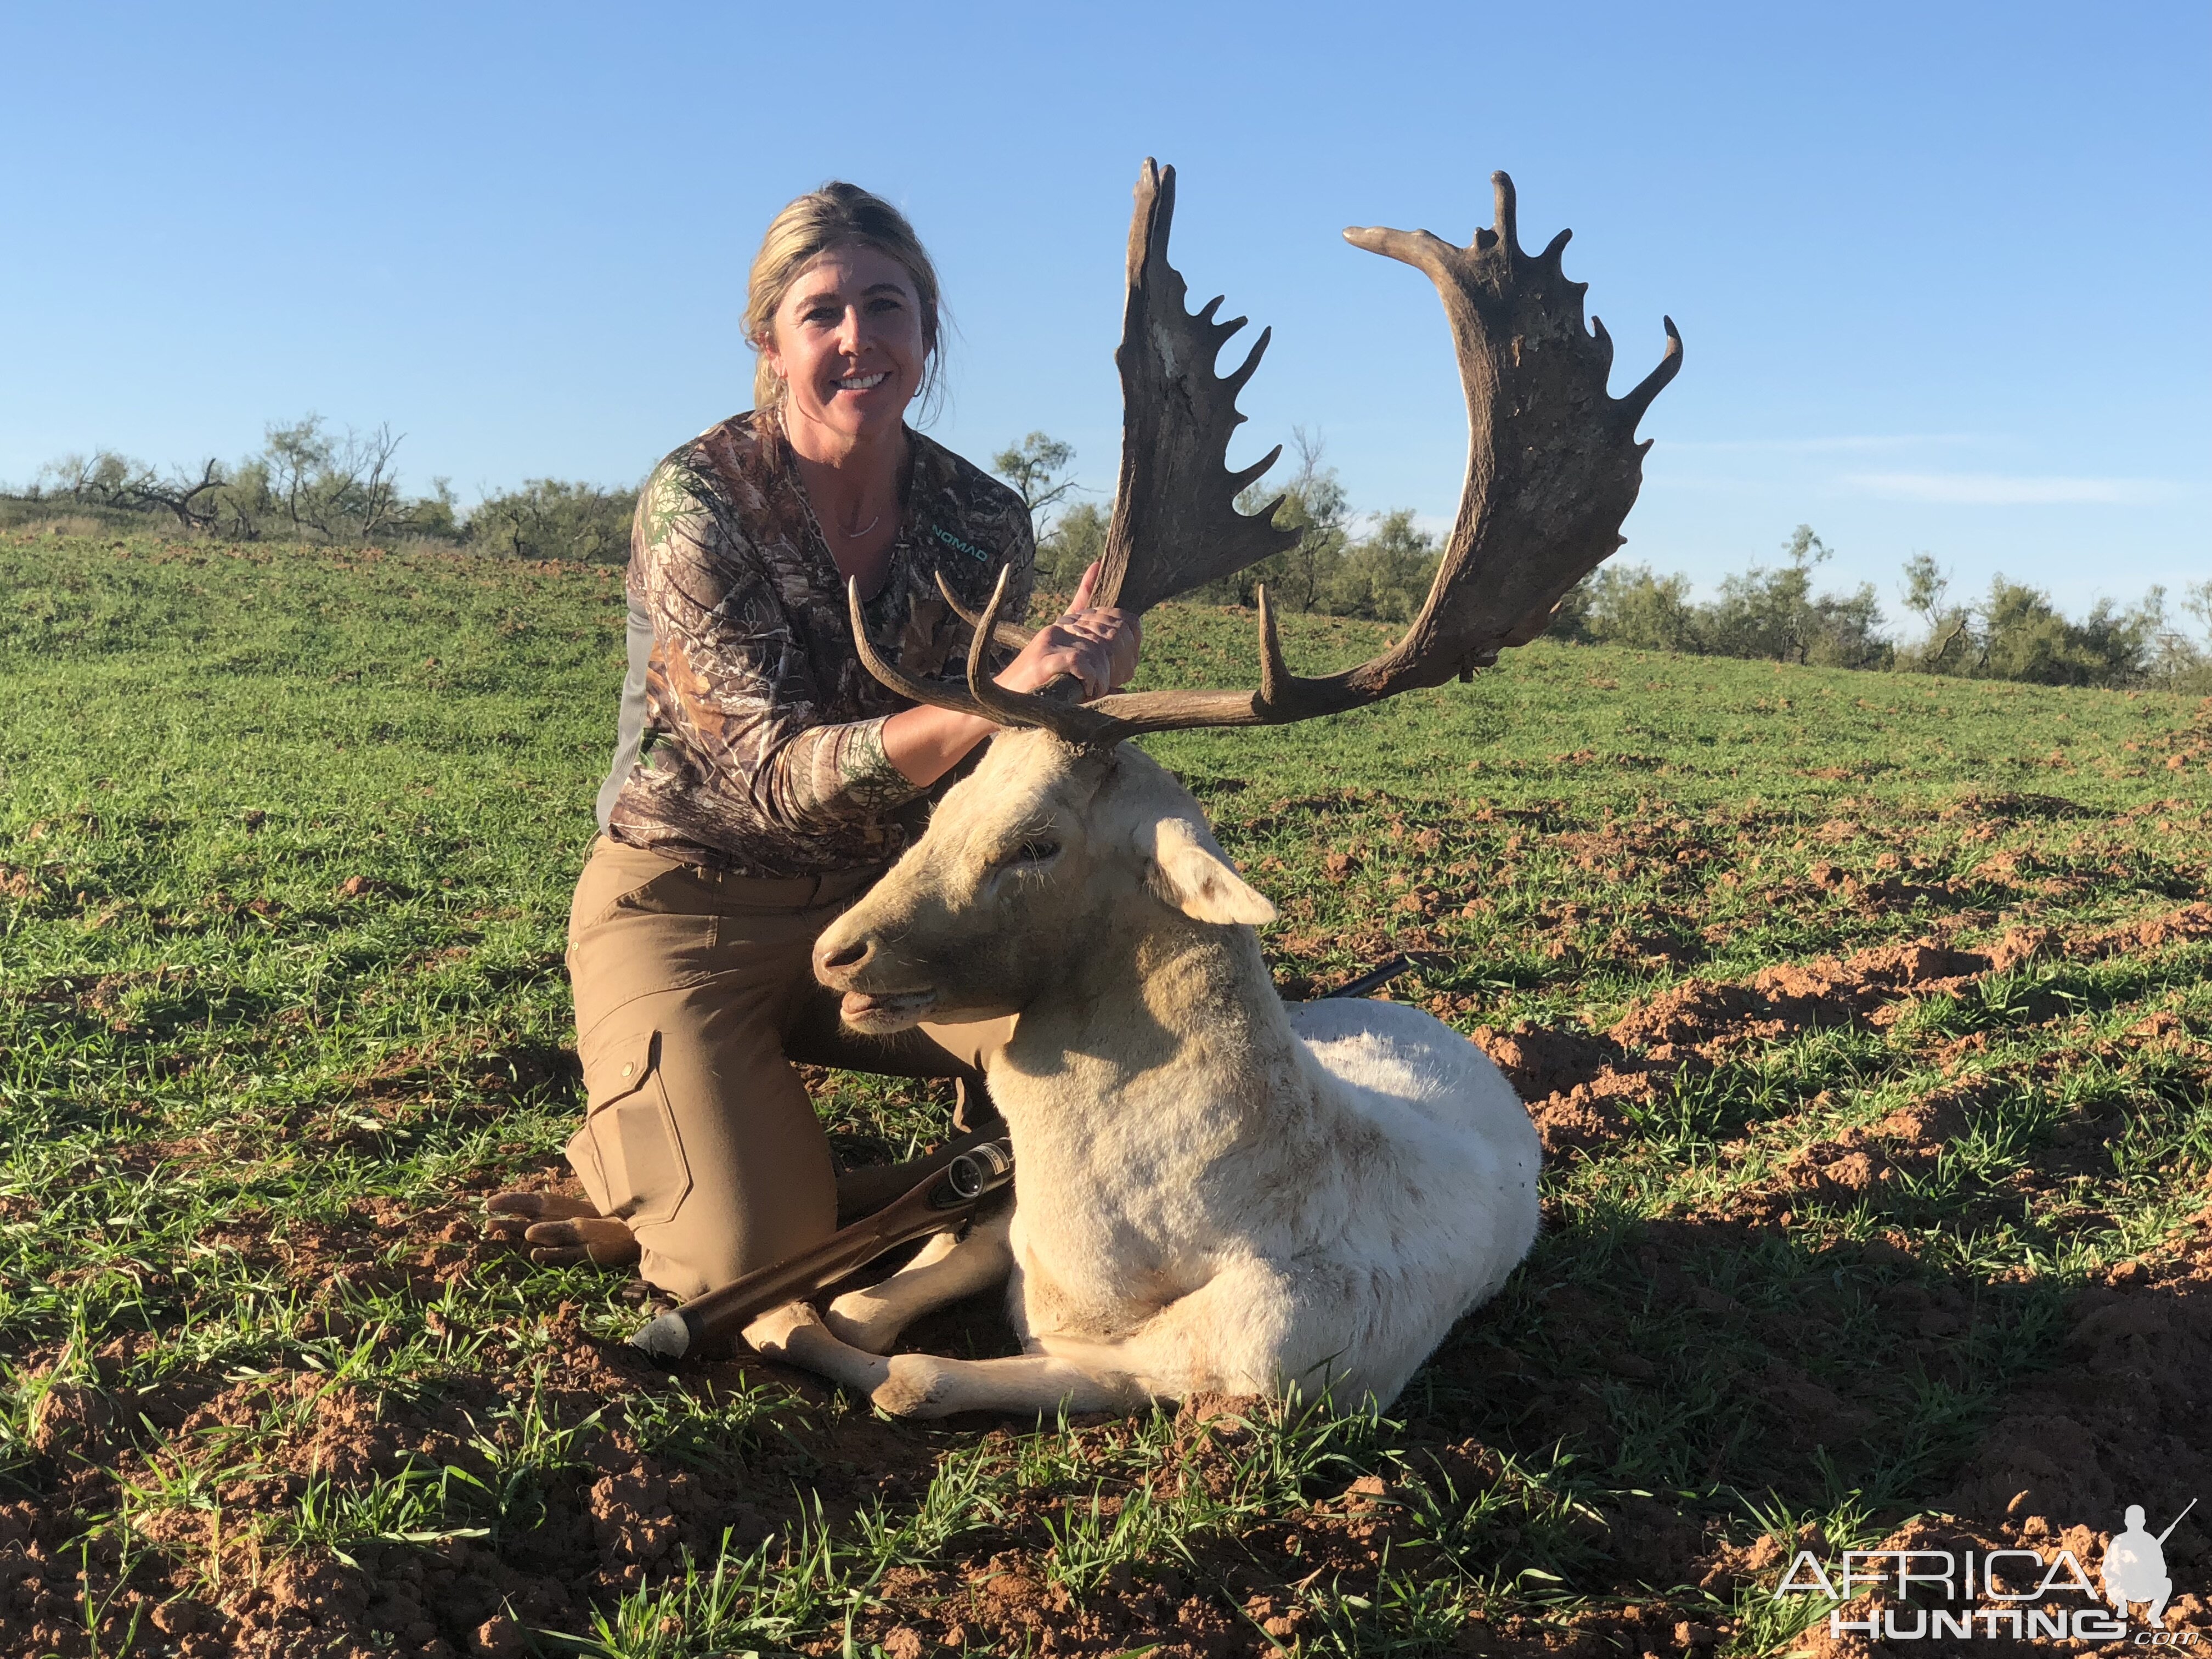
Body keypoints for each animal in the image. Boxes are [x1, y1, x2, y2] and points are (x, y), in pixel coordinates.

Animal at [738, 162, 1672, 1424]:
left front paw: (787, 1328)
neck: (1110, 1266)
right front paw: (778, 1307)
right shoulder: (998, 1213)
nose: (838, 954)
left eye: (1037, 843)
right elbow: (879, 1292)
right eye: (949, 797)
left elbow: (914, 1373)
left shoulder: (1258, 1368)